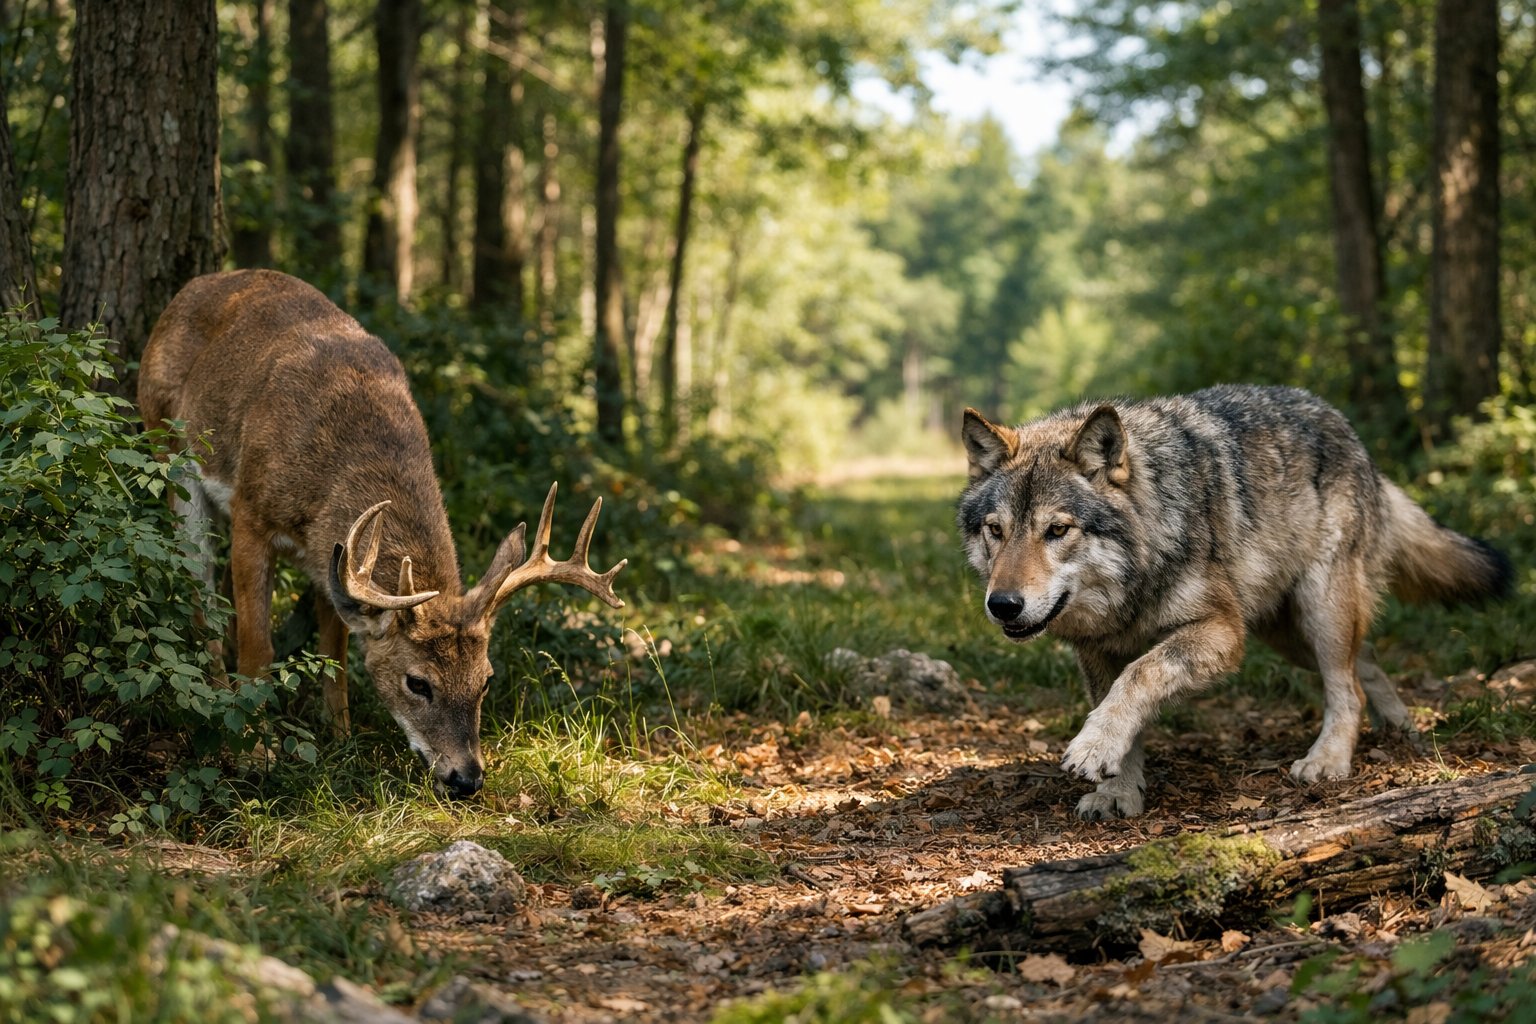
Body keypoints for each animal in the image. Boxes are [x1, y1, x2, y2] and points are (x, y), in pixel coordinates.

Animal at [138, 269, 626, 798]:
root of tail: (197, 285)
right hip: (167, 445)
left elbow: (334, 650)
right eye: (418, 683)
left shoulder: (332, 559)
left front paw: (341, 738)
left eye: (486, 680)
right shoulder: (252, 512)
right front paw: (252, 752)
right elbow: (257, 644)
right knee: (199, 587)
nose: (467, 777)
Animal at [957, 385, 1511, 820]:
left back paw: (1329, 760)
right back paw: (1399, 727)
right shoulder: (1097, 650)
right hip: (1288, 634)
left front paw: (1095, 748)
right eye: (996, 531)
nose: (1003, 604)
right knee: (1365, 661)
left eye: (1057, 530)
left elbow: (1141, 674)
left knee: (1346, 684)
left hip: (1317, 611)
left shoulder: (1221, 633)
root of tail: (1349, 431)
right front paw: (1118, 789)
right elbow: (1121, 705)